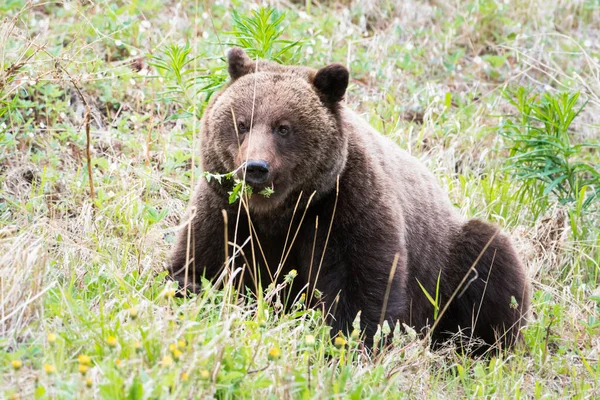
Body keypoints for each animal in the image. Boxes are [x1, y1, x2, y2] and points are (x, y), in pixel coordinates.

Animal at [169, 47, 528, 352]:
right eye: (241, 123)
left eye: (283, 127)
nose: (255, 167)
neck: (279, 212)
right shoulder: (227, 210)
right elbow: (200, 263)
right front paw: (195, 289)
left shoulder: (343, 207)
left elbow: (361, 287)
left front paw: (348, 339)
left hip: (447, 259)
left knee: (490, 264)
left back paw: (479, 345)